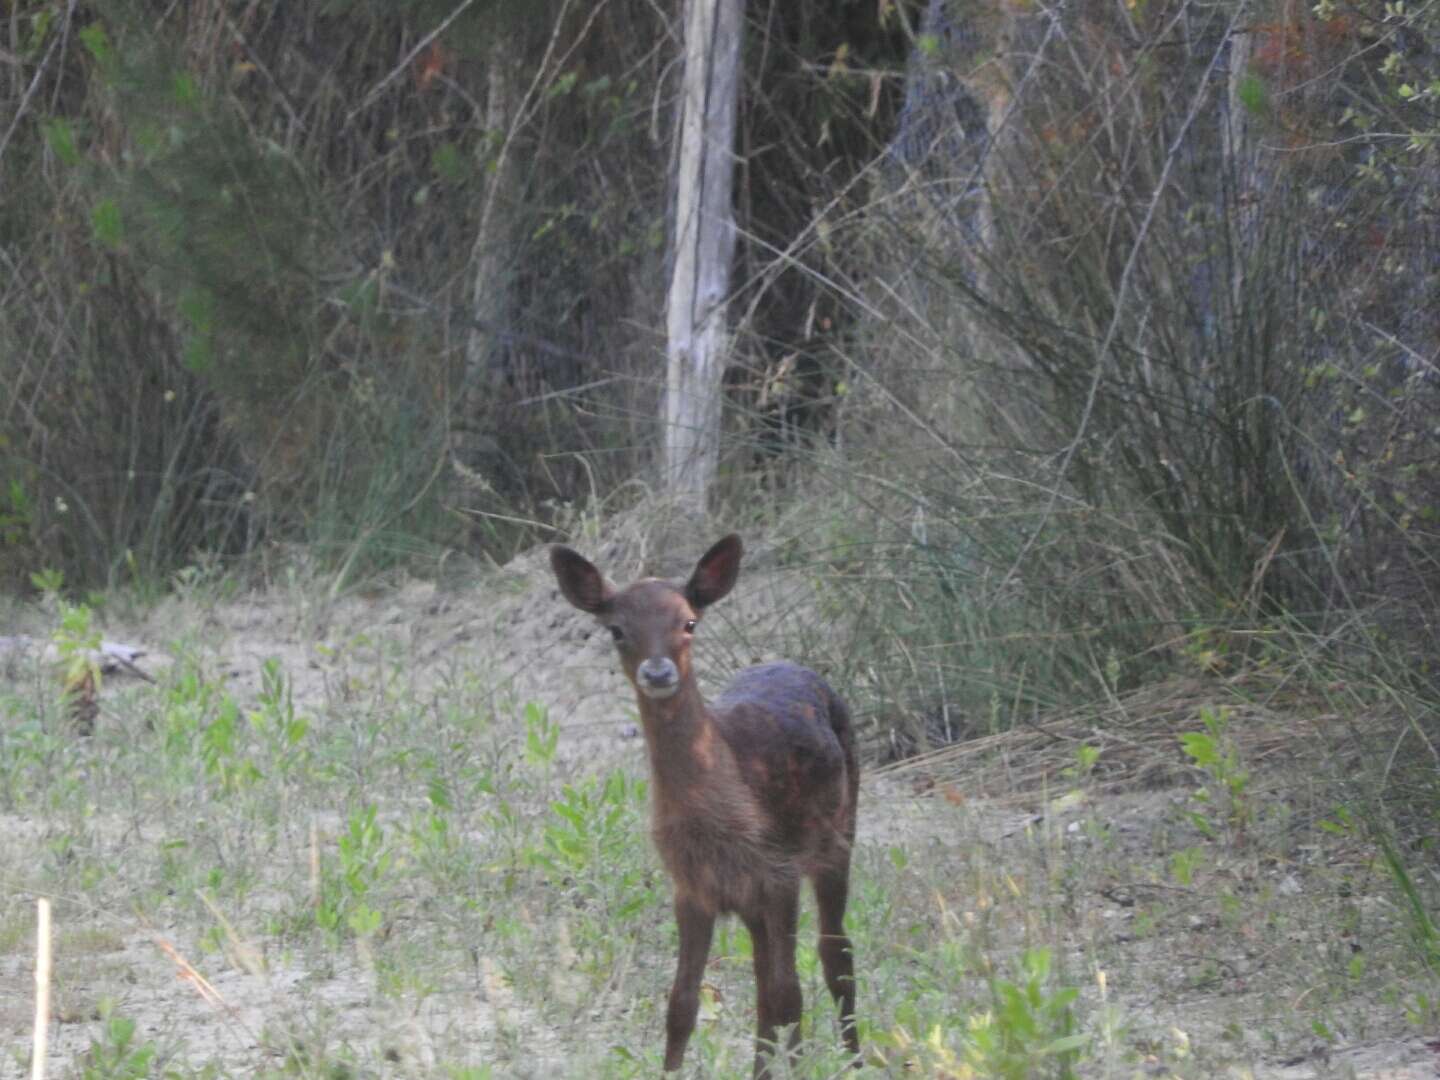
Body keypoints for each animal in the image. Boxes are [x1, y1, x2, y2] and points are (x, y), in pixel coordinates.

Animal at [550, 538, 858, 1077]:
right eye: (616, 629)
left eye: (689, 622)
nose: (658, 672)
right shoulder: (692, 885)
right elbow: (682, 1005)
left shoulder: (778, 869)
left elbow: (788, 994)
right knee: (767, 980)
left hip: (839, 834)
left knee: (833, 955)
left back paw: (859, 1059)